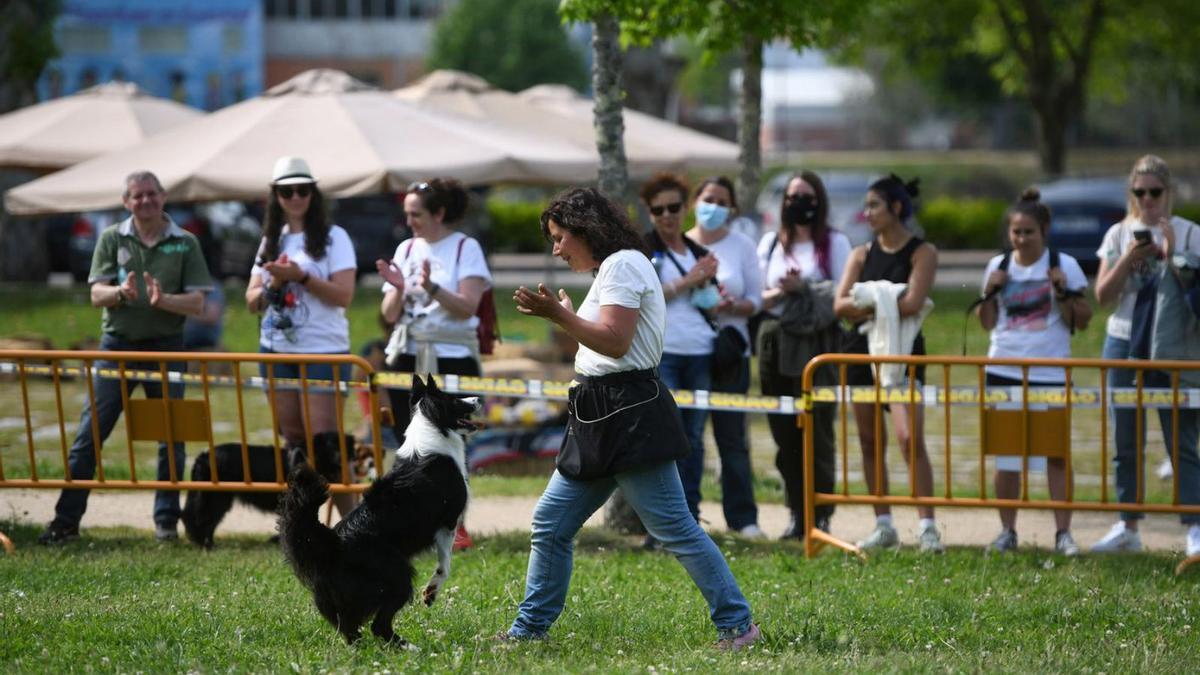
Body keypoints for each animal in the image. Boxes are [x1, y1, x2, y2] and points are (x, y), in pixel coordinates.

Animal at [180, 429, 360, 547]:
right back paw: (206, 544)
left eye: (344, 446)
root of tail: (203, 455)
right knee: (202, 517)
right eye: (331, 447)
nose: (343, 458)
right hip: (216, 496)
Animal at [278, 372, 480, 638]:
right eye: (454, 399)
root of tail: (331, 544)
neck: (430, 424)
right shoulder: (448, 521)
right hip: (399, 574)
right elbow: (445, 564)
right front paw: (431, 592)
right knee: (379, 625)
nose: (477, 398)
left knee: (351, 631)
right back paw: (408, 645)